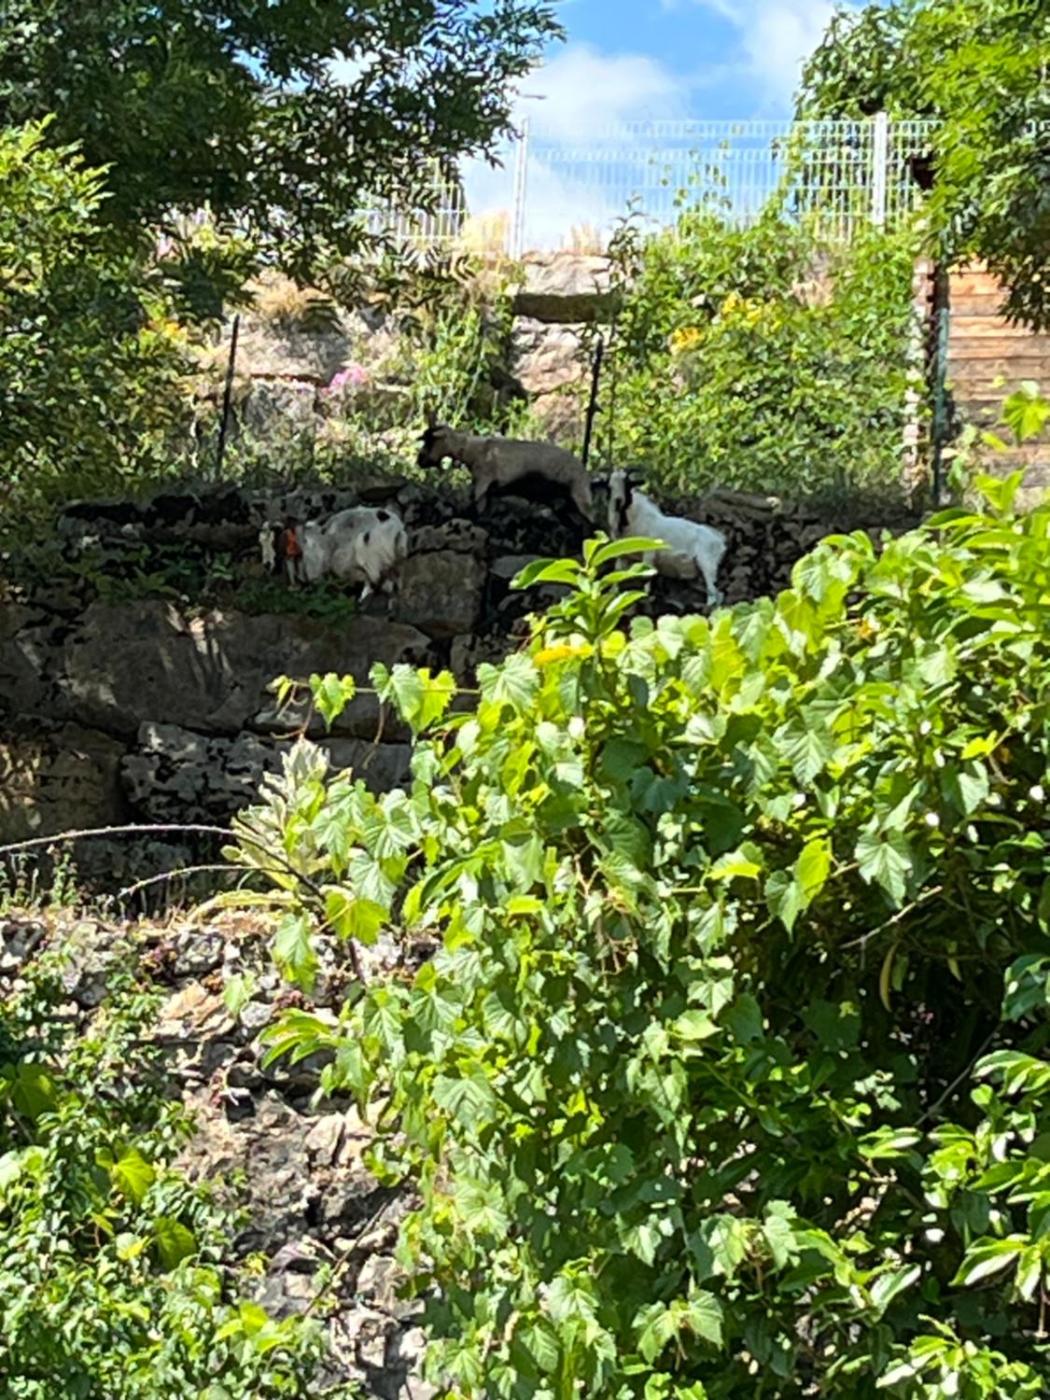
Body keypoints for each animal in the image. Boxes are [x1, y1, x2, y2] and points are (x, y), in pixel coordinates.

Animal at [417, 411, 593, 520]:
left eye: (430, 440)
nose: (419, 461)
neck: (472, 450)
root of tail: (583, 471)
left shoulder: (483, 482)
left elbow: (475, 510)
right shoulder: (486, 490)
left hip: (579, 496)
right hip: (564, 503)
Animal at [607, 469, 726, 606]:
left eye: (627, 484)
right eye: (609, 486)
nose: (617, 500)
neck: (637, 518)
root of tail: (720, 540)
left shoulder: (649, 553)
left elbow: (646, 573)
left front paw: (645, 595)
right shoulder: (622, 556)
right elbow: (617, 574)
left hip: (708, 564)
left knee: (713, 591)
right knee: (716, 593)